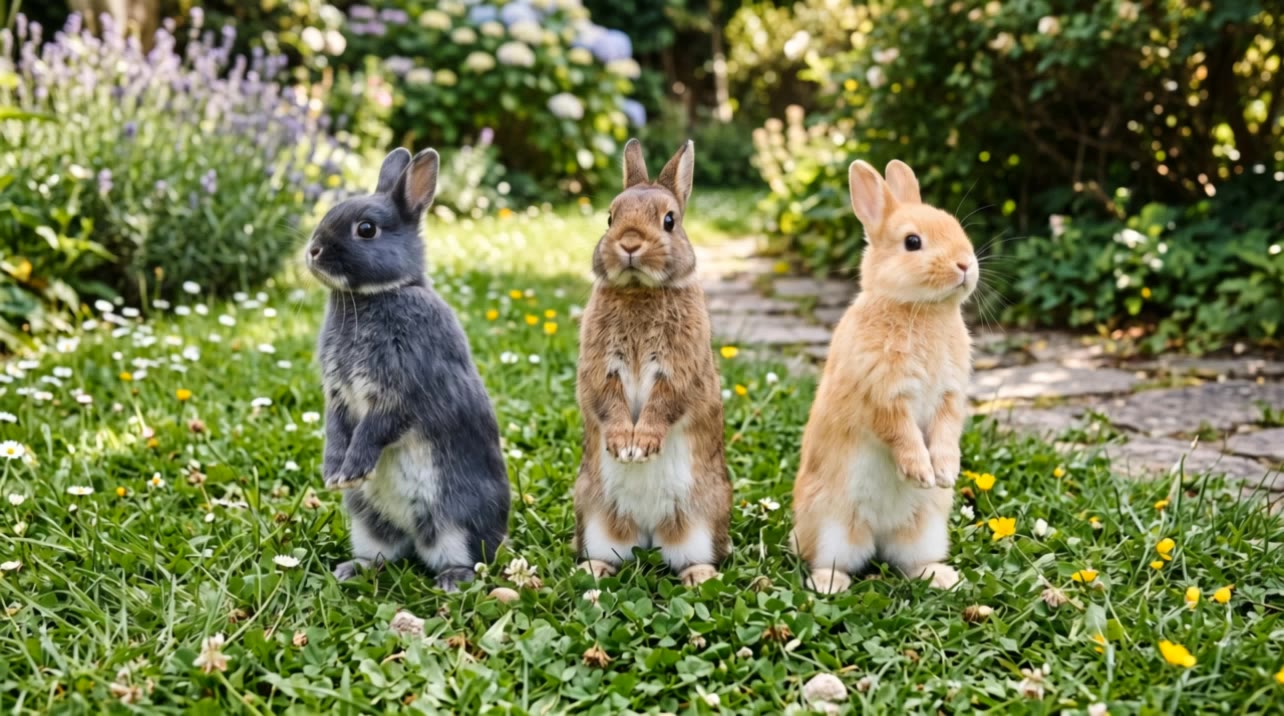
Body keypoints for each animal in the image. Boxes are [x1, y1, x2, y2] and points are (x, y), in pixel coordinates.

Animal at [305, 147, 510, 592]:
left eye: (366, 229)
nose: (312, 250)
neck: (378, 295)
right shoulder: (338, 396)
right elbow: (336, 429)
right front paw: (334, 474)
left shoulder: (403, 391)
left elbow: (374, 429)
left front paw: (353, 469)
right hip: (368, 523)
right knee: (382, 553)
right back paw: (352, 569)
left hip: (455, 520)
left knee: (465, 556)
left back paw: (451, 579)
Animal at [573, 139, 732, 587]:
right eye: (610, 217)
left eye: (669, 221)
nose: (629, 244)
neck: (640, 290)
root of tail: (647, 531)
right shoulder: (600, 368)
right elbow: (607, 402)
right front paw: (622, 445)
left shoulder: (680, 371)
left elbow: (665, 403)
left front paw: (640, 446)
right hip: (592, 513)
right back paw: (594, 572)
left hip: (702, 519)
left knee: (692, 556)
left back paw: (700, 577)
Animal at [791, 159, 977, 594]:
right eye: (912, 242)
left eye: (956, 228)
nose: (965, 264)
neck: (919, 310)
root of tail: (877, 534)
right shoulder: (883, 396)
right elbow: (901, 433)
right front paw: (921, 472)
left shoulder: (949, 396)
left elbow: (945, 432)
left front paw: (944, 473)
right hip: (833, 527)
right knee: (830, 560)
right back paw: (829, 584)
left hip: (924, 530)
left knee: (909, 561)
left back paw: (941, 577)